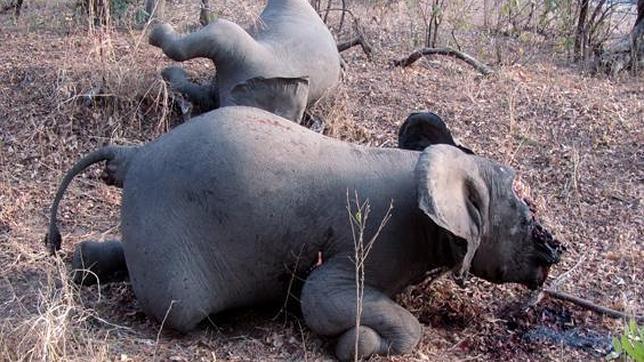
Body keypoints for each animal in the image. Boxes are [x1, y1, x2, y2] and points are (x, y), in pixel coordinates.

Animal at [45, 106, 560, 360]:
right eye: (525, 214)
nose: (555, 249)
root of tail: (135, 155)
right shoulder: (371, 245)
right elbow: (318, 299)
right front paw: (357, 346)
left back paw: (84, 260)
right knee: (177, 306)